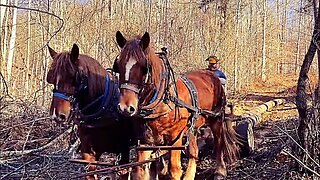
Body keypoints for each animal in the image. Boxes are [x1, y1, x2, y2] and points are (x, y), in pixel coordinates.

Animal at [115, 31, 240, 179]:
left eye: (144, 67)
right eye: (118, 65)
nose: (126, 107)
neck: (161, 100)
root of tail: (211, 74)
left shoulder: (175, 138)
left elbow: (174, 169)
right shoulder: (145, 141)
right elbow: (141, 171)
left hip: (216, 119)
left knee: (219, 143)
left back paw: (220, 171)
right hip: (193, 127)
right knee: (194, 152)